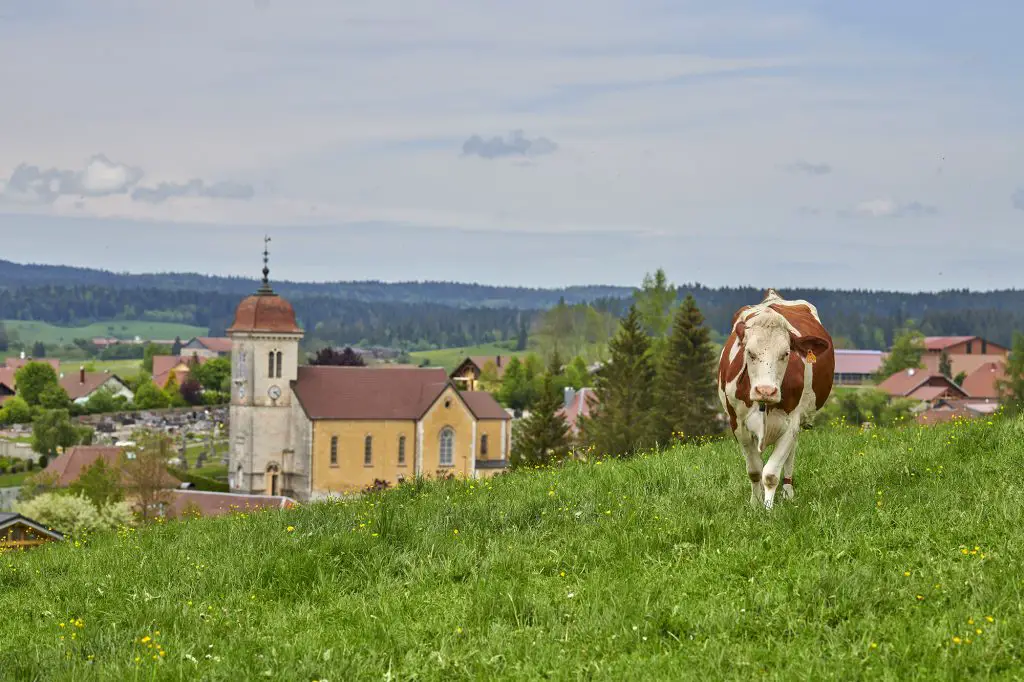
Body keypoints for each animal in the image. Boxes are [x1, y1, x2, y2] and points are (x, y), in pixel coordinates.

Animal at [720, 284, 831, 503]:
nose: (766, 390)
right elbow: (755, 471)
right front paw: (755, 504)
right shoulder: (738, 425)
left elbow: (770, 474)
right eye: (749, 352)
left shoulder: (791, 423)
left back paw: (788, 491)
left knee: (790, 456)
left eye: (786, 353)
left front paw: (768, 507)